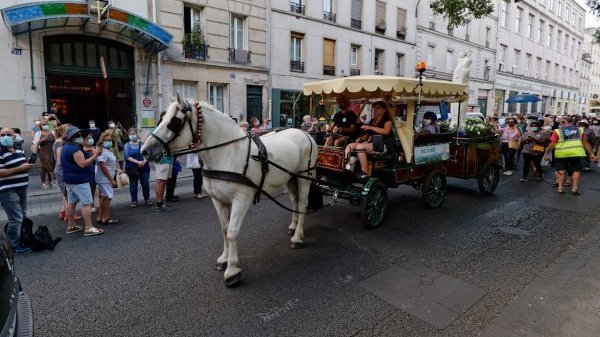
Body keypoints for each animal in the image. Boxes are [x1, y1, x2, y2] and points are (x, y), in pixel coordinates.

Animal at [141, 94, 318, 286]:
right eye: (162, 118)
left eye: (174, 121)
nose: (145, 151)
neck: (227, 152)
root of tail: (304, 133)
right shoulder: (218, 200)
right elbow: (224, 229)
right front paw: (224, 259)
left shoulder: (241, 199)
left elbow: (232, 232)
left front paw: (232, 270)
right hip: (290, 178)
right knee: (294, 201)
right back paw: (293, 226)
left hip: (303, 177)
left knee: (302, 204)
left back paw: (298, 237)